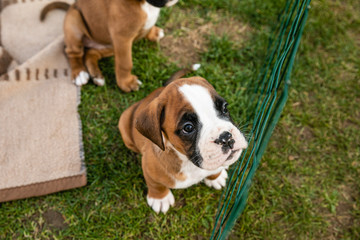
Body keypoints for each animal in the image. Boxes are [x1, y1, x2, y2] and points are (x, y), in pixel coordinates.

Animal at [41, 0, 178, 91]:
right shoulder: (122, 38)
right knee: (73, 52)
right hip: (74, 22)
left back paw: (97, 76)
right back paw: (79, 73)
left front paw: (153, 32)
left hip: (110, 46)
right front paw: (126, 83)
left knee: (90, 53)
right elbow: (125, 63)